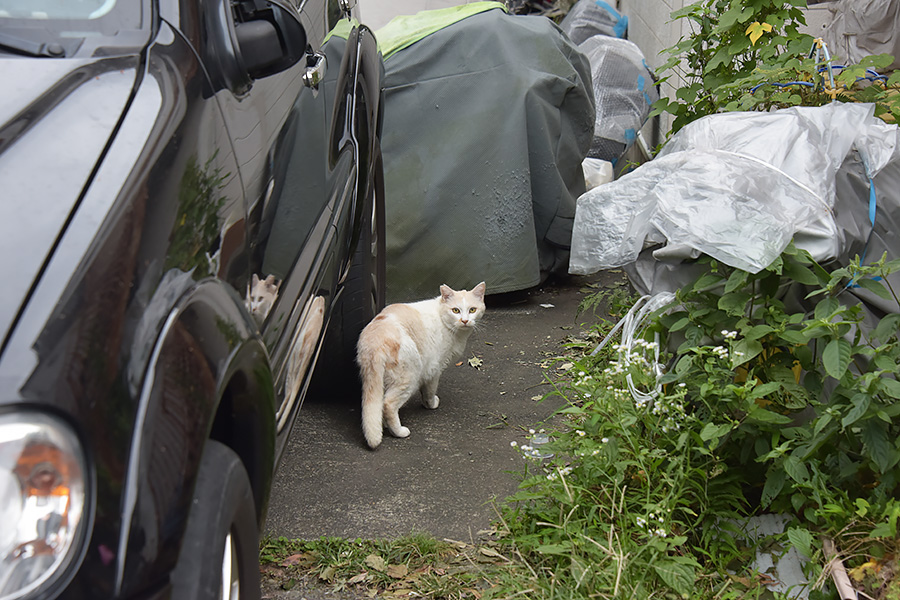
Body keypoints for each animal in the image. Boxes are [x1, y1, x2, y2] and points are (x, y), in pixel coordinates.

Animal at [356, 284, 486, 448]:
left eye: (472, 310)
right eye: (455, 310)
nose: (464, 320)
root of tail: (375, 341)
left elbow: (425, 392)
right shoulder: (434, 369)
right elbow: (430, 391)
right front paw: (431, 404)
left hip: (382, 380)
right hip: (410, 377)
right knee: (388, 404)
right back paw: (399, 431)